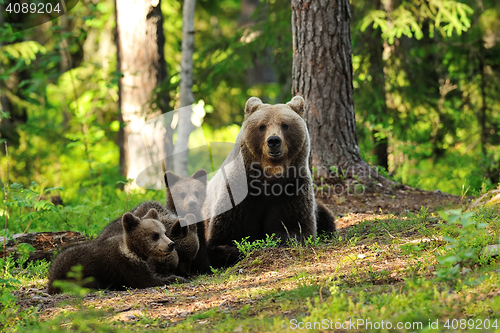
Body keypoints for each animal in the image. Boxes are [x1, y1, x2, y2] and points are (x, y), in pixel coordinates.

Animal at [203, 96, 336, 268]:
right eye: (262, 126)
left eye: (285, 125)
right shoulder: (239, 192)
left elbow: (296, 227)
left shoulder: (292, 188)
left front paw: (279, 238)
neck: (270, 175)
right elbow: (224, 237)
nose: (273, 141)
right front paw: (235, 249)